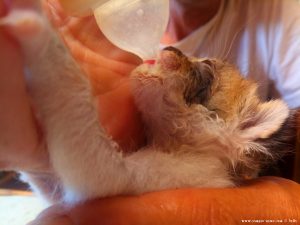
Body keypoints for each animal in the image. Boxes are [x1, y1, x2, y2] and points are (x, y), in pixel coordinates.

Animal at [0, 5, 296, 203]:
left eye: (207, 74)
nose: (169, 49)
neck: (174, 147)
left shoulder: (106, 175)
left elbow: (72, 89)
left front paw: (35, 26)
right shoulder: (57, 191)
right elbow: (39, 172)